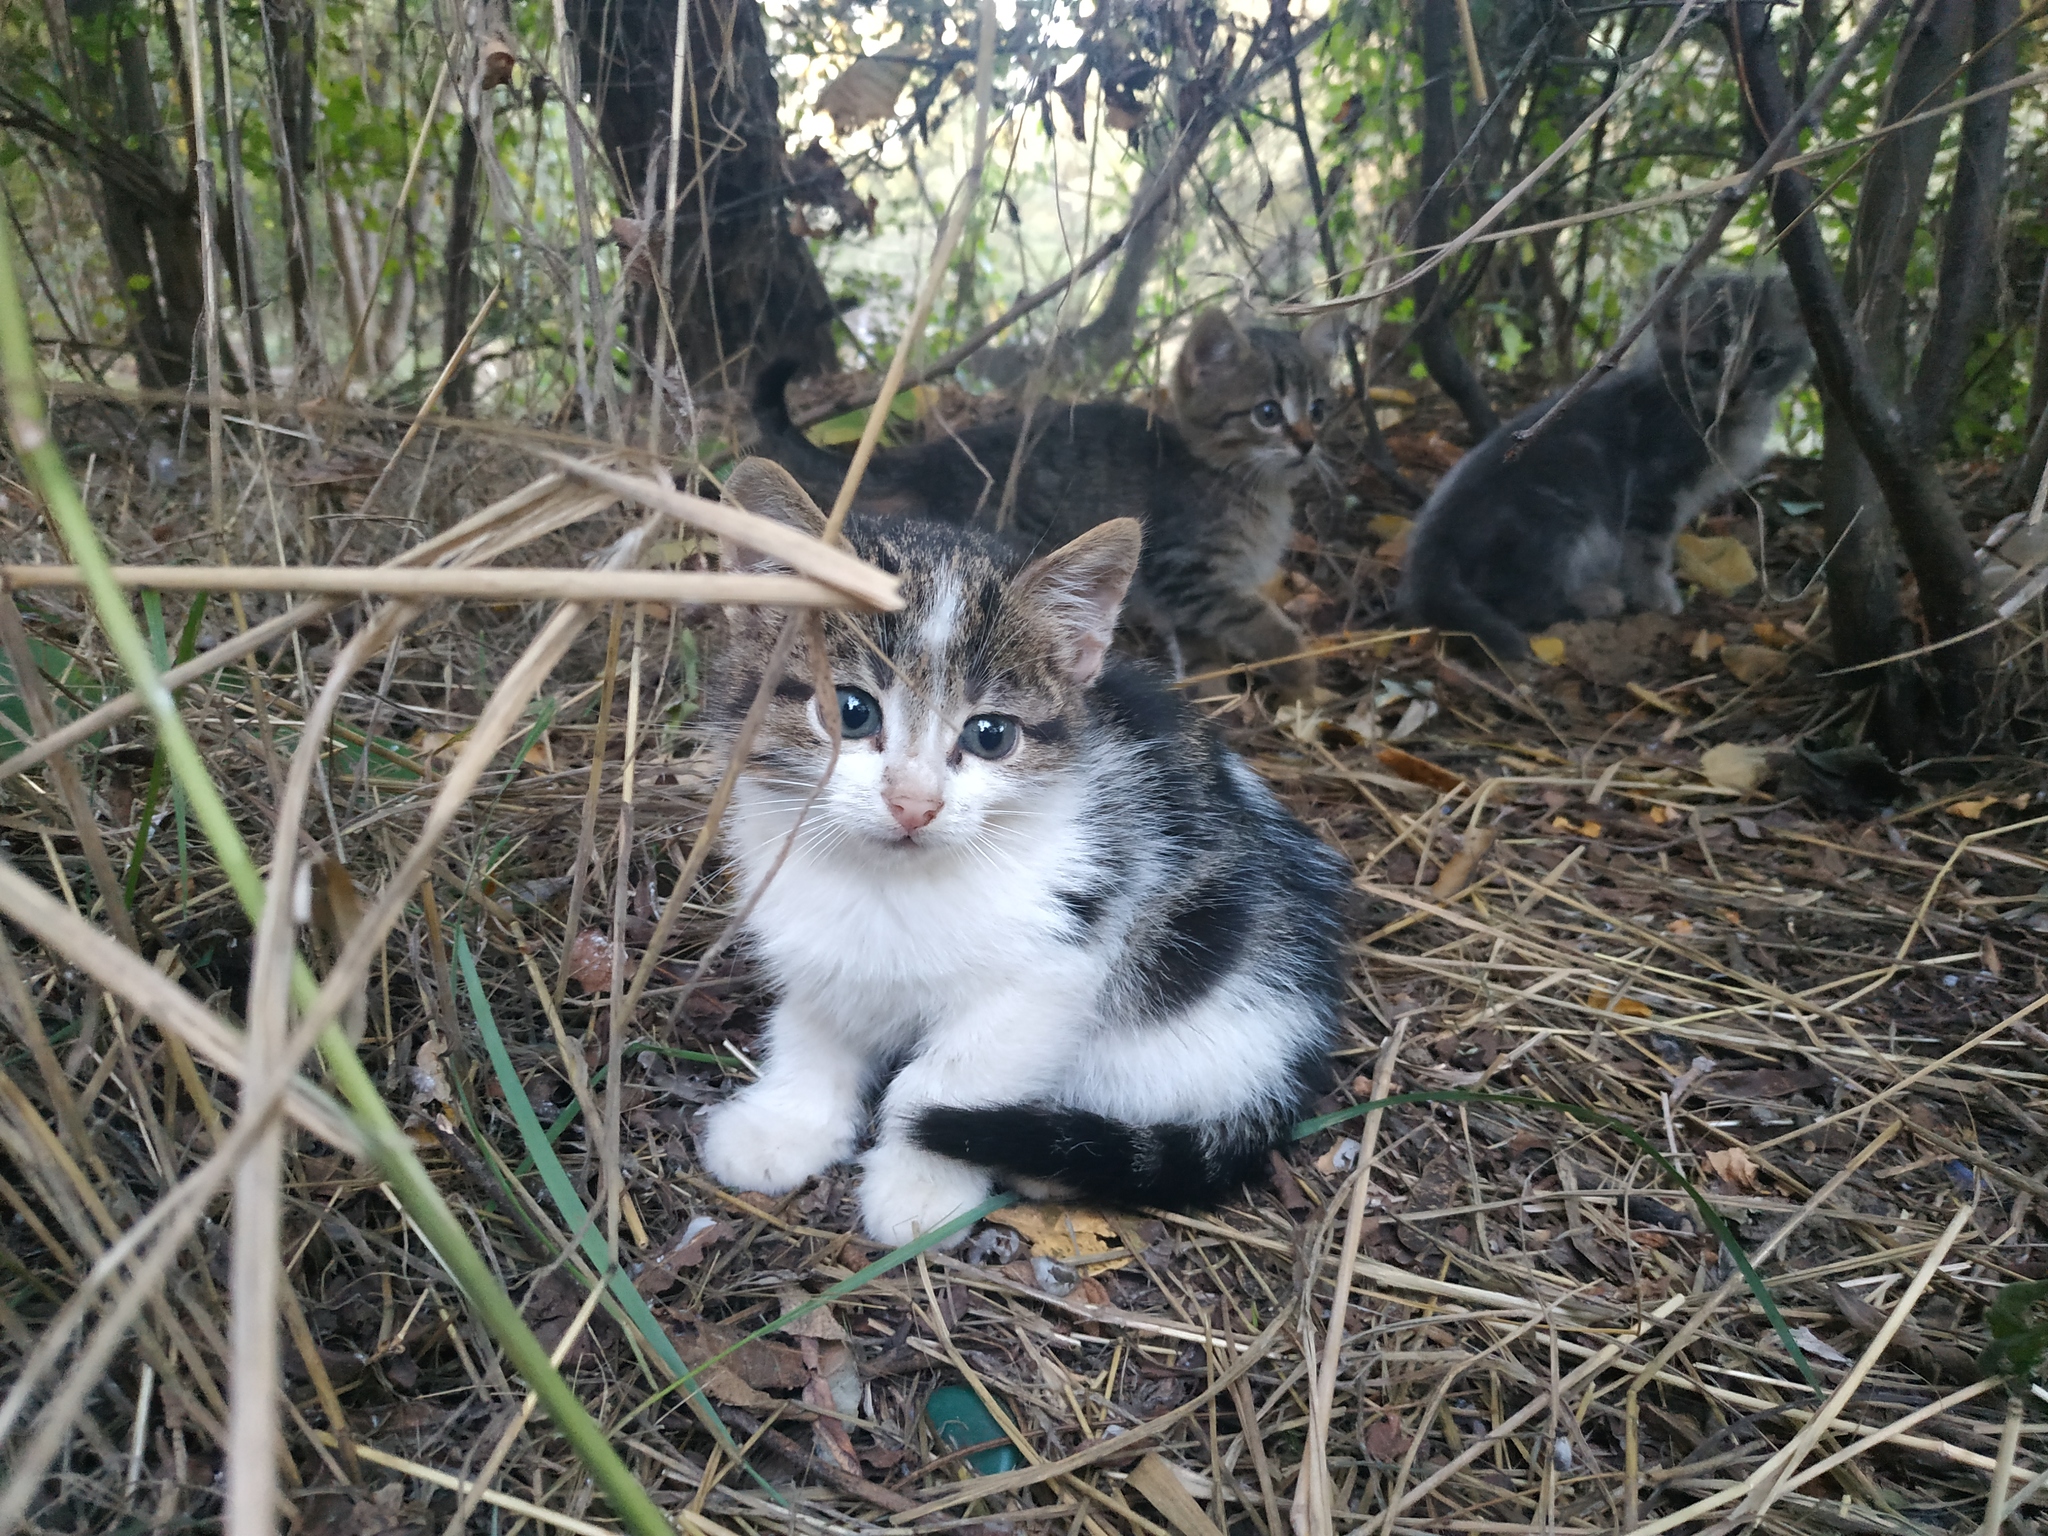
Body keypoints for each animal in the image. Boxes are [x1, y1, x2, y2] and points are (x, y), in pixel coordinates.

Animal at [696, 460, 1351, 1253]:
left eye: (990, 734)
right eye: (851, 711)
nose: (914, 803)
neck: (888, 883)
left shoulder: (1059, 956)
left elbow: (948, 1079)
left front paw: (922, 1184)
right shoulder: (808, 932)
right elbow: (813, 1025)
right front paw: (786, 1123)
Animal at [761, 309, 1335, 696]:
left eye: (1319, 409)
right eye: (1267, 413)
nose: (1308, 442)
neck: (1244, 484)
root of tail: (938, 455)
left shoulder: (1192, 605)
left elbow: (1201, 660)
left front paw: (1211, 702)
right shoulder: (1188, 573)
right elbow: (1260, 620)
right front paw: (1302, 672)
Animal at [1400, 270, 1818, 663]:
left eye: (1763, 358)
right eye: (1706, 359)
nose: (1734, 392)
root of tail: (1429, 542)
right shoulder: (1654, 482)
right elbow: (1647, 547)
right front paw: (1654, 597)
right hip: (1562, 515)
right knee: (1522, 601)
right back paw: (1595, 600)